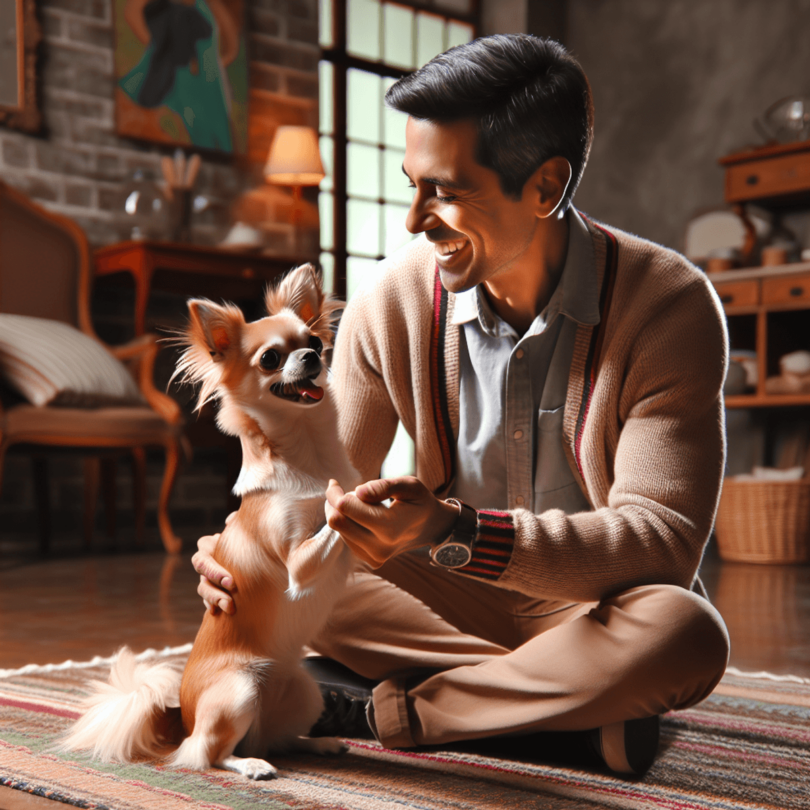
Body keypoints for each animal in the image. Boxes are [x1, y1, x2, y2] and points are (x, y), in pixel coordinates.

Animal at [64, 264, 362, 776]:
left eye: (314, 343)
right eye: (270, 359)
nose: (310, 356)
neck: (305, 452)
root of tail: (178, 717)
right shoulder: (299, 565)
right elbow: (332, 519)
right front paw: (352, 498)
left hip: (303, 692)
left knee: (279, 739)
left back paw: (317, 743)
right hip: (238, 691)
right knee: (207, 753)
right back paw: (251, 765)